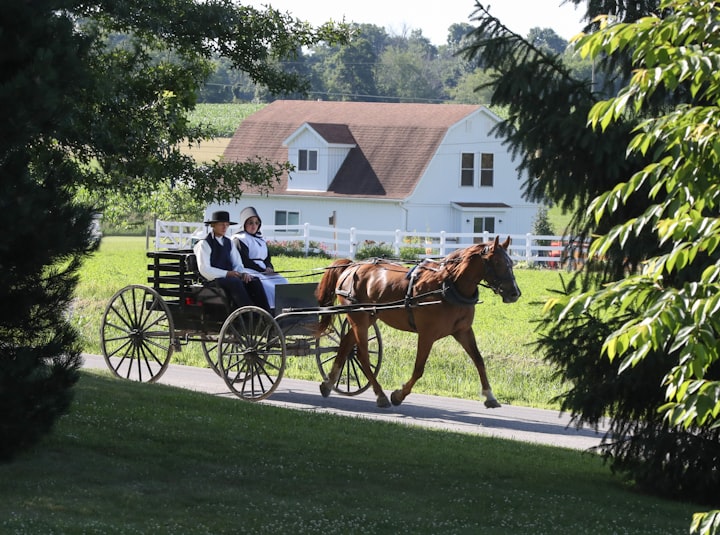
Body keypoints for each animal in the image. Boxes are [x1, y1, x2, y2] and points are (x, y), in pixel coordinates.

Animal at [314, 237, 516, 408]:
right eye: (497, 262)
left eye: (511, 263)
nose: (515, 293)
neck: (448, 285)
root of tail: (351, 266)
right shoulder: (427, 334)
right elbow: (419, 368)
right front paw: (398, 395)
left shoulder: (463, 331)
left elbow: (479, 360)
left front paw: (489, 395)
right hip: (359, 318)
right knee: (363, 355)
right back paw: (380, 394)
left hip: (369, 317)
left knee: (346, 343)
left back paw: (328, 383)